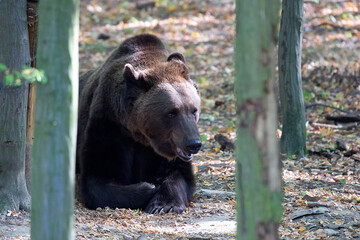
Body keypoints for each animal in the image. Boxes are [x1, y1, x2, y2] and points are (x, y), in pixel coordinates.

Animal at [77, 34, 201, 214]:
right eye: (171, 112)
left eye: (194, 110)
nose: (194, 144)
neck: (139, 134)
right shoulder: (108, 126)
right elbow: (98, 179)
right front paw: (148, 187)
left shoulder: (161, 152)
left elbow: (180, 175)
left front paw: (164, 204)